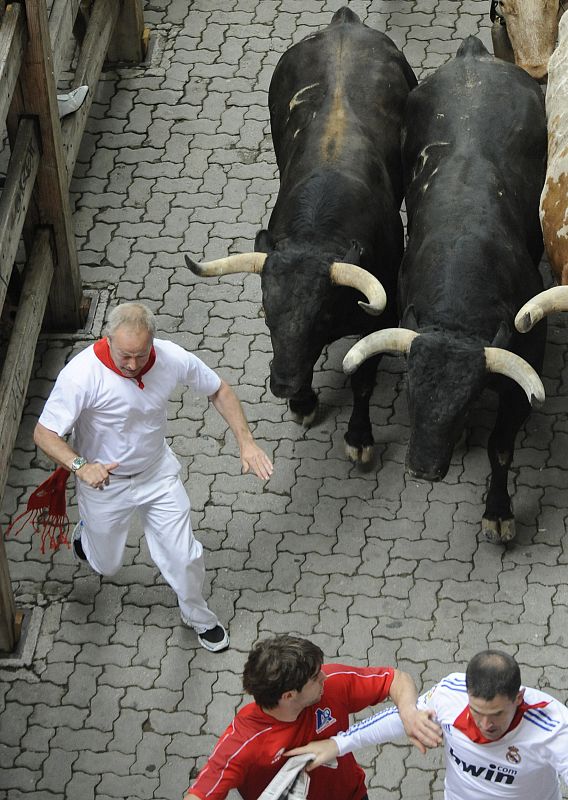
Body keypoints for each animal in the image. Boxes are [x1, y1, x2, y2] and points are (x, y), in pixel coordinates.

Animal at [185, 7, 418, 462]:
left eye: (321, 316)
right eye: (266, 314)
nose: (284, 385)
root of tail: (344, 22)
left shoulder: (381, 319)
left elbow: (362, 380)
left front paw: (359, 438)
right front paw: (304, 403)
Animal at [344, 34, 548, 540]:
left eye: (468, 399)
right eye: (410, 395)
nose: (422, 468)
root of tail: (473, 54)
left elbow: (501, 449)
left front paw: (498, 512)